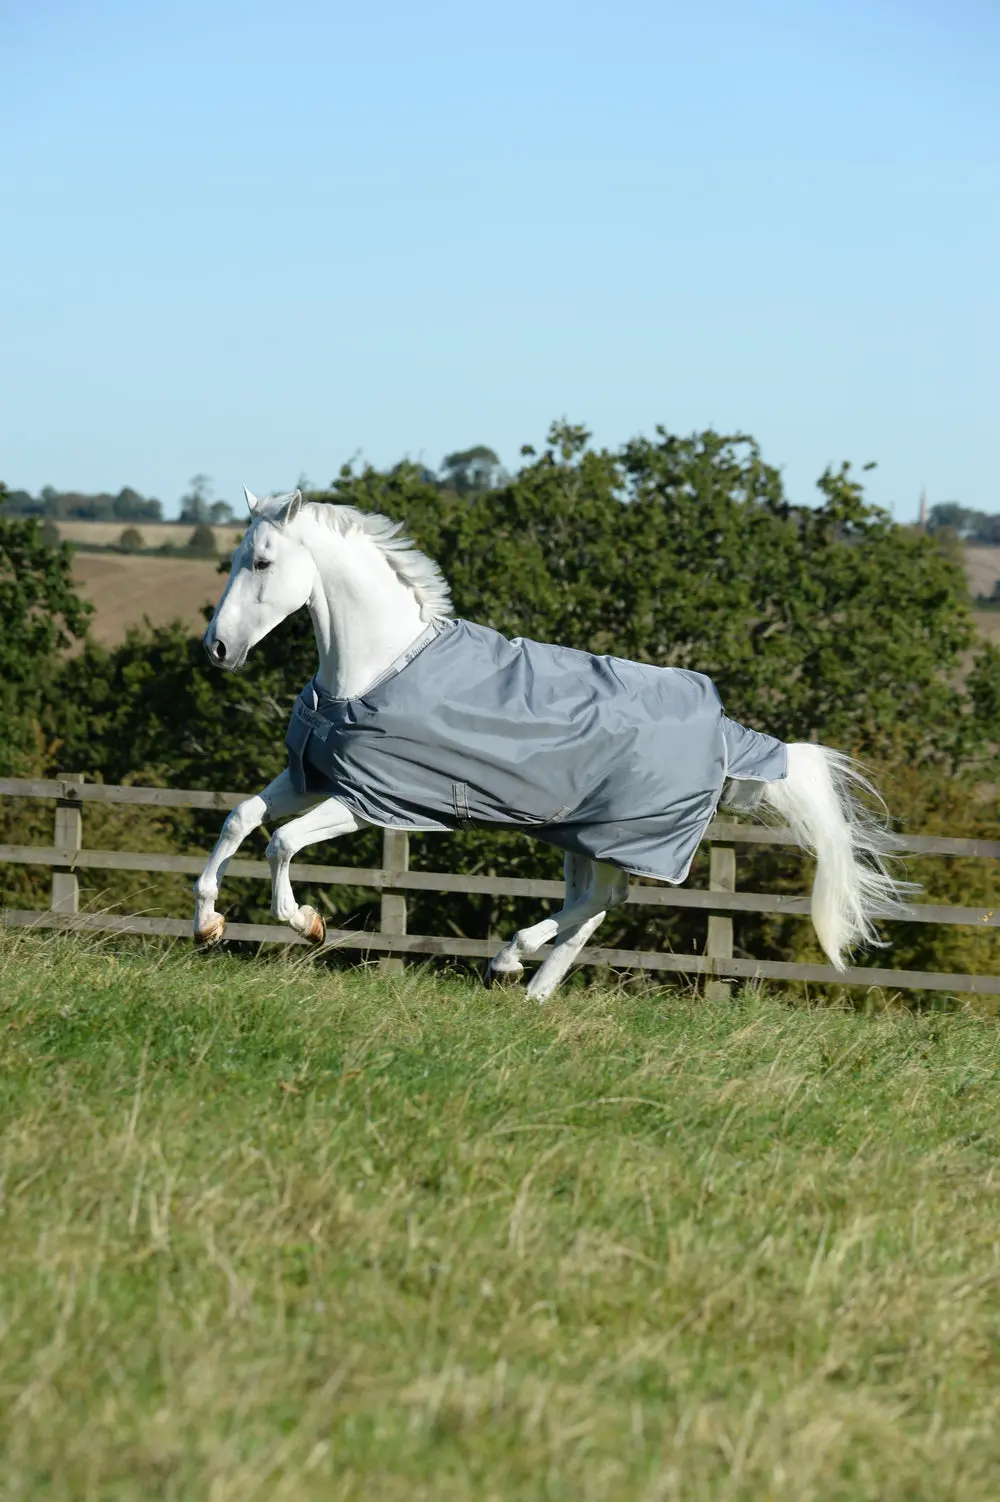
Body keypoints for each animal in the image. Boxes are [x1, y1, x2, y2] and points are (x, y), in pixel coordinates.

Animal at [194, 487, 908, 1000]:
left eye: (262, 562)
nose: (218, 649)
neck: (375, 668)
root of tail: (727, 730)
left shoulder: (375, 801)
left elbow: (282, 843)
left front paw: (306, 923)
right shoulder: (311, 776)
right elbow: (241, 819)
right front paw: (207, 923)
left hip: (622, 837)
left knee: (598, 902)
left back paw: (509, 959)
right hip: (582, 837)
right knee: (594, 908)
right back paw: (532, 990)